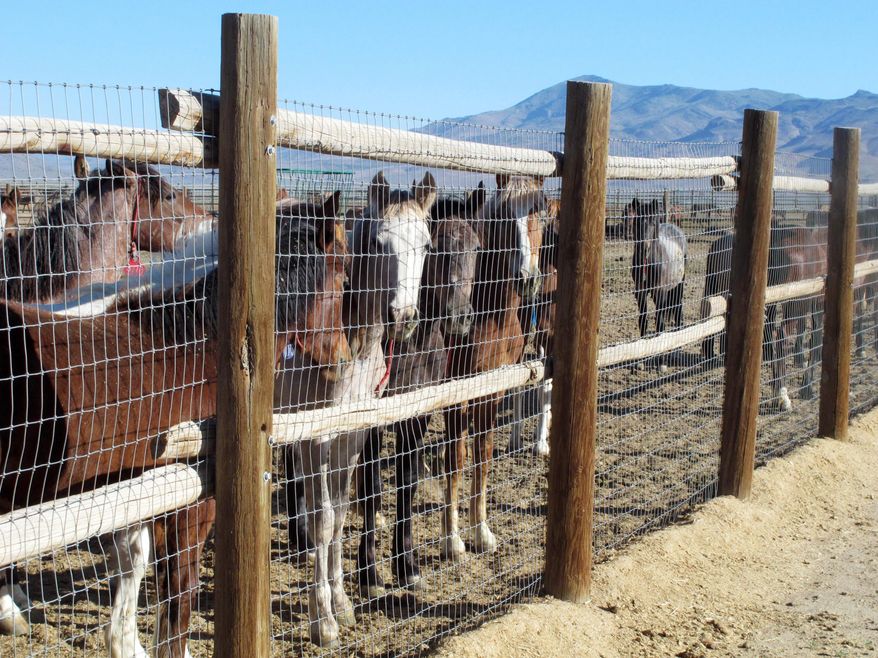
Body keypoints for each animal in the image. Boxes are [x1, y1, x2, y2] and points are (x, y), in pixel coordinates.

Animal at [0, 196, 349, 657]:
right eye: (343, 276)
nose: (343, 360)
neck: (196, 349)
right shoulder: (190, 505)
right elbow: (179, 596)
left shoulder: (139, 493)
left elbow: (138, 569)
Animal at [279, 171, 435, 647]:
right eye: (381, 243)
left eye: (426, 245)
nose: (404, 317)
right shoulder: (315, 436)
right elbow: (325, 518)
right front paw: (323, 621)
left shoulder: (353, 431)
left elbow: (344, 511)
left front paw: (343, 603)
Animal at [355, 183, 483, 597]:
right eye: (438, 247)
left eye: (476, 246)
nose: (461, 318)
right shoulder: (372, 420)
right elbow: (372, 485)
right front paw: (369, 573)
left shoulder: (418, 412)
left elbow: (407, 483)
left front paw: (406, 565)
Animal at [441, 174, 547, 561]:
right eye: (503, 218)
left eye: (541, 212)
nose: (528, 278)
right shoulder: (457, 391)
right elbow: (457, 458)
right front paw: (453, 540)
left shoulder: (494, 386)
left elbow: (483, 455)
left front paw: (482, 531)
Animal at [626, 197, 688, 371]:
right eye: (636, 221)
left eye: (653, 222)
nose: (643, 248)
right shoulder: (640, 293)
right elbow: (643, 321)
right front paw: (641, 361)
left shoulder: (660, 293)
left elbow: (660, 323)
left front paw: (661, 363)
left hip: (678, 286)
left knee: (678, 313)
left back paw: (676, 352)